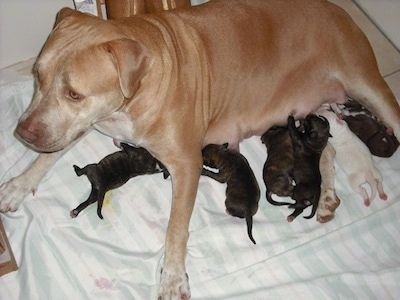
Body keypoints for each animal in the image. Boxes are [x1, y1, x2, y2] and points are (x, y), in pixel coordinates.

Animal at [0, 0, 400, 298]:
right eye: (36, 75)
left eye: (74, 93)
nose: (22, 131)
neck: (138, 84)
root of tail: (337, 8)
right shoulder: (77, 125)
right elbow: (47, 155)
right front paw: (18, 185)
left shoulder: (186, 162)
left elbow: (176, 227)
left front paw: (173, 278)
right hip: (315, 113)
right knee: (327, 151)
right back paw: (328, 197)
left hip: (368, 84)